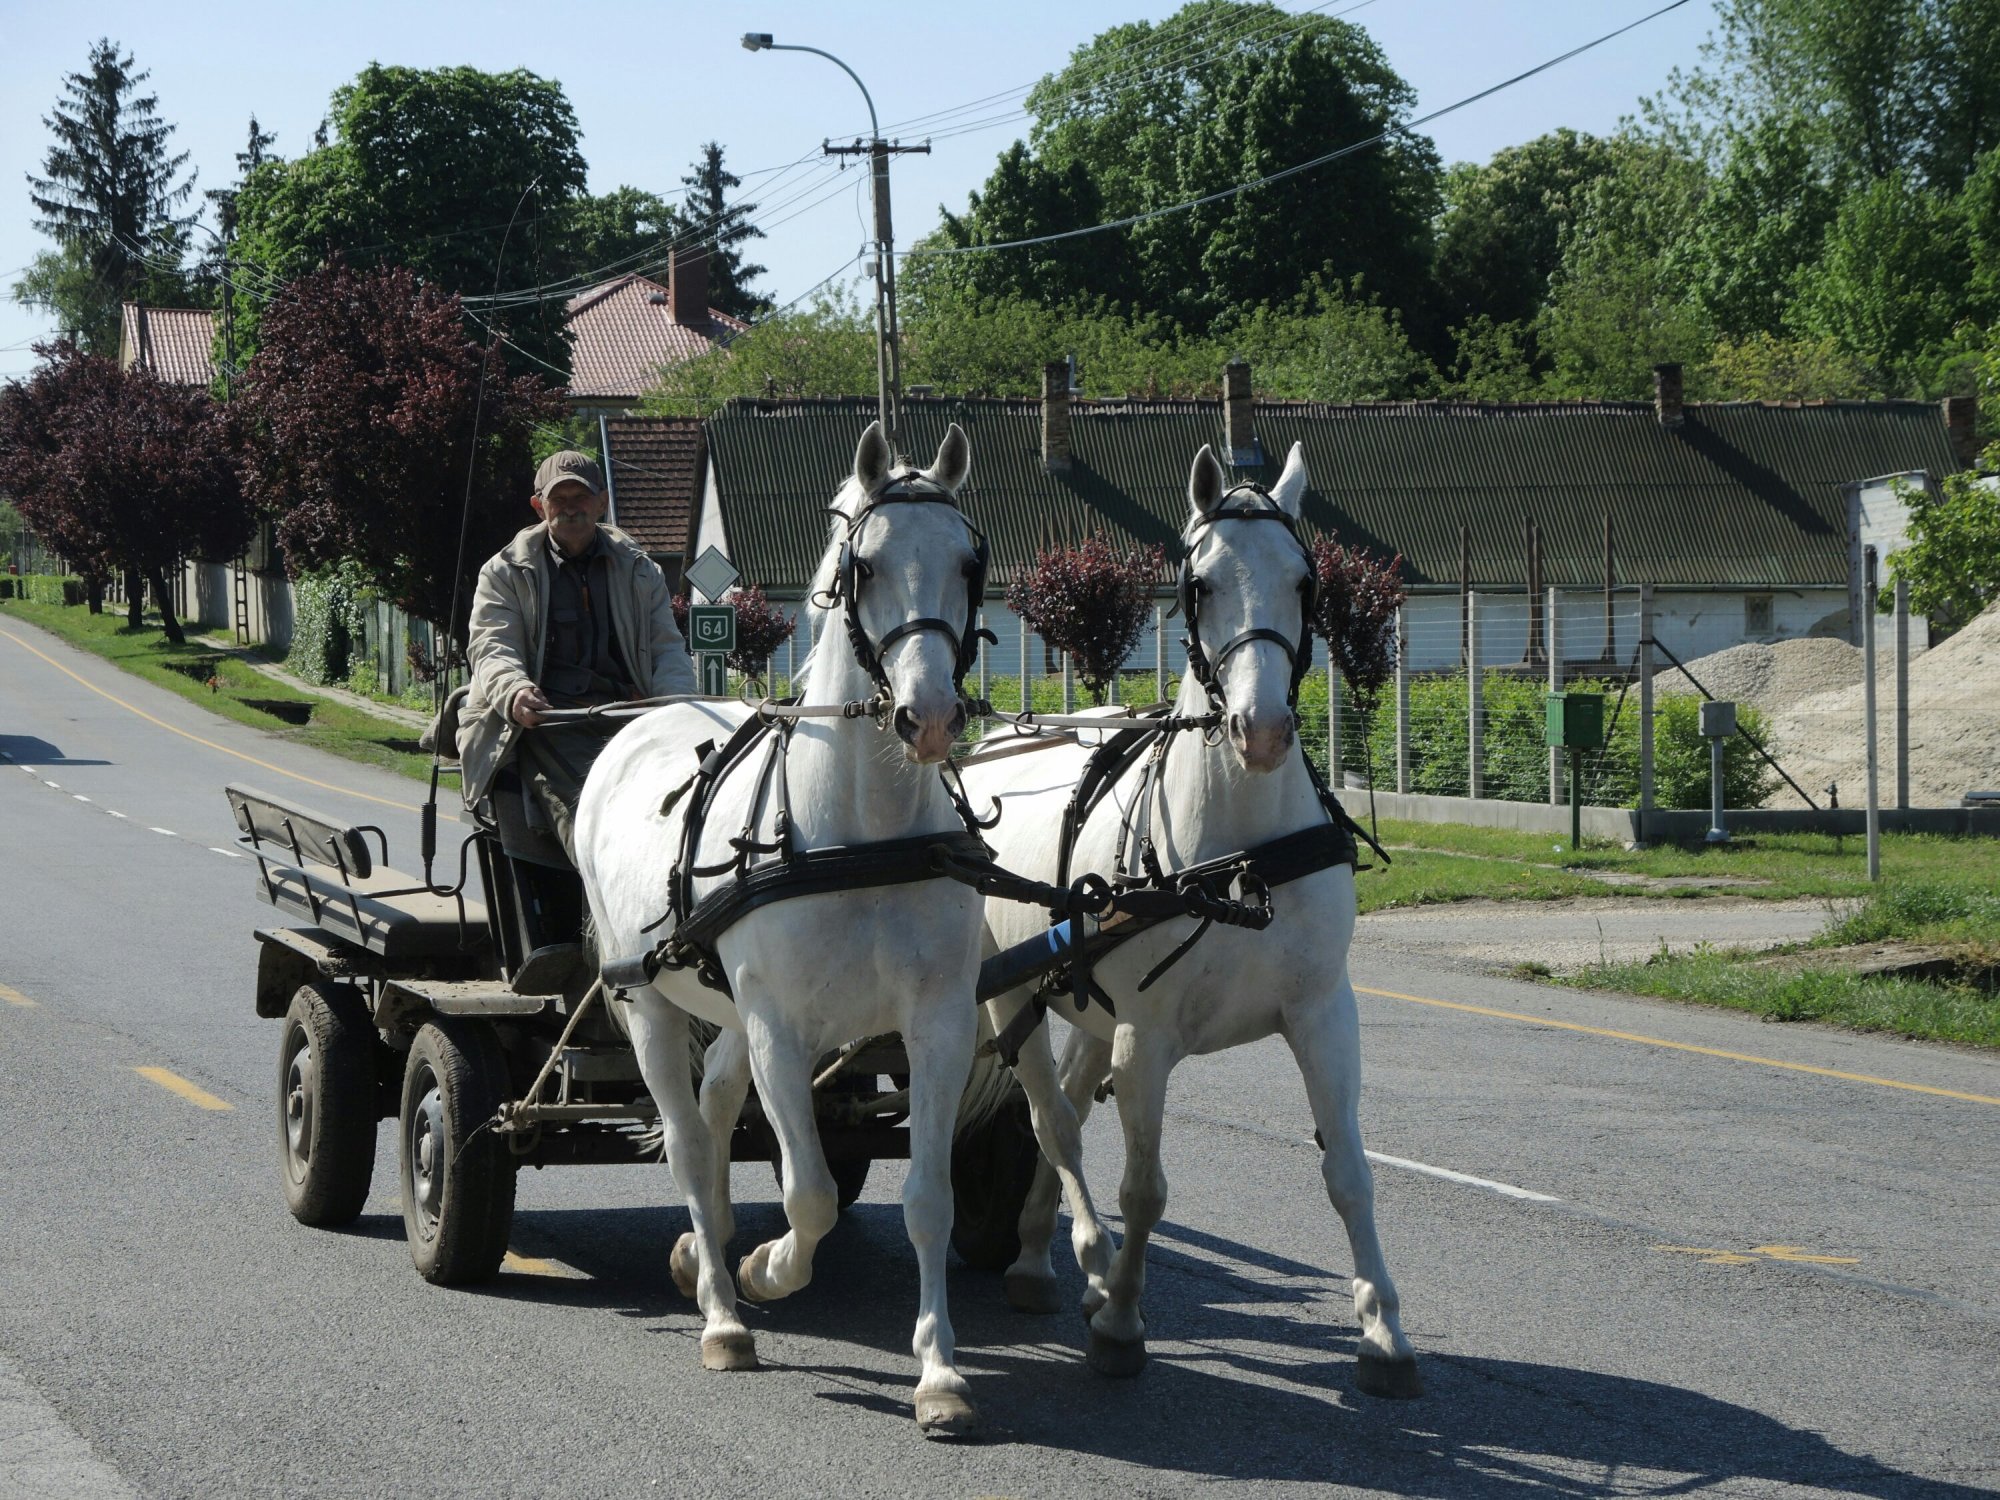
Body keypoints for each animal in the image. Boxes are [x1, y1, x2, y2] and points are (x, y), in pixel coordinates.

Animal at [575, 421, 991, 1436]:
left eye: (967, 564)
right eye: (865, 565)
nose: (930, 716)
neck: (861, 834)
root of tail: (634, 726)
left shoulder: (941, 1024)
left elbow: (929, 1200)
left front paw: (941, 1374)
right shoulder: (783, 1031)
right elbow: (810, 1192)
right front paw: (767, 1272)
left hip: (729, 1012)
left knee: (718, 1105)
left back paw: (707, 1253)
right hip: (647, 1004)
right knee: (690, 1139)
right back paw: (724, 1312)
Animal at [962, 441, 1422, 1398]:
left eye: (1305, 580)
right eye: (1201, 583)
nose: (1262, 728)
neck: (1238, 859)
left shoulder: (1324, 1014)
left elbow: (1349, 1174)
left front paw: (1383, 1331)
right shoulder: (1147, 1035)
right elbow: (1144, 1189)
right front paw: (1123, 1323)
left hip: (1083, 999)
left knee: (1067, 1108)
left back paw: (1043, 1256)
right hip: (1011, 996)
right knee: (1053, 1123)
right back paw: (1082, 1263)